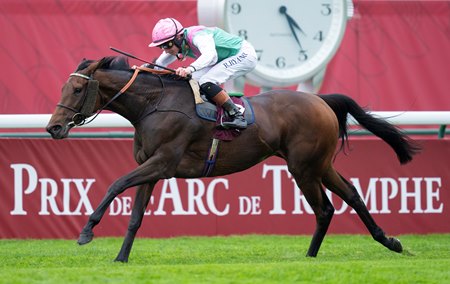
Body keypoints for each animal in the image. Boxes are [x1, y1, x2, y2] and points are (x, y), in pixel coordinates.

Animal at [45, 56, 418, 262]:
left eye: (76, 90)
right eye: (64, 87)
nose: (53, 127)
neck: (153, 104)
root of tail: (321, 100)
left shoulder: (163, 162)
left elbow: (115, 183)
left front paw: (86, 232)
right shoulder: (151, 169)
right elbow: (136, 217)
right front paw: (121, 258)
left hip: (304, 167)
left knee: (325, 208)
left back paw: (313, 256)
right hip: (320, 164)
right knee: (351, 195)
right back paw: (385, 242)